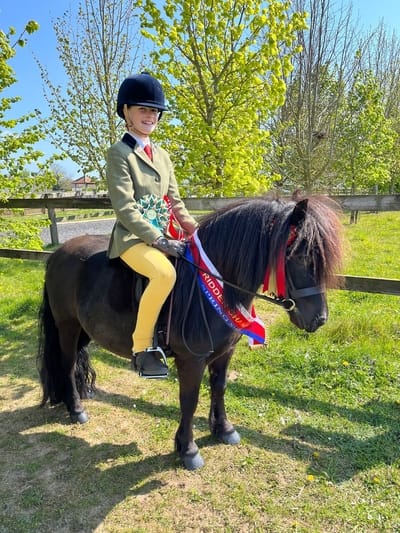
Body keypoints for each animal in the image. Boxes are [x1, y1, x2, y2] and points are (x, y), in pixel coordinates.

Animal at [38, 194, 344, 466]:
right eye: (299, 255)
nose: (319, 319)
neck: (212, 285)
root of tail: (58, 254)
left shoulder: (224, 353)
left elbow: (219, 387)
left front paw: (223, 429)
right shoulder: (192, 360)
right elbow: (189, 400)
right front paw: (188, 449)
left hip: (84, 330)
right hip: (67, 327)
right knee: (67, 365)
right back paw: (76, 409)